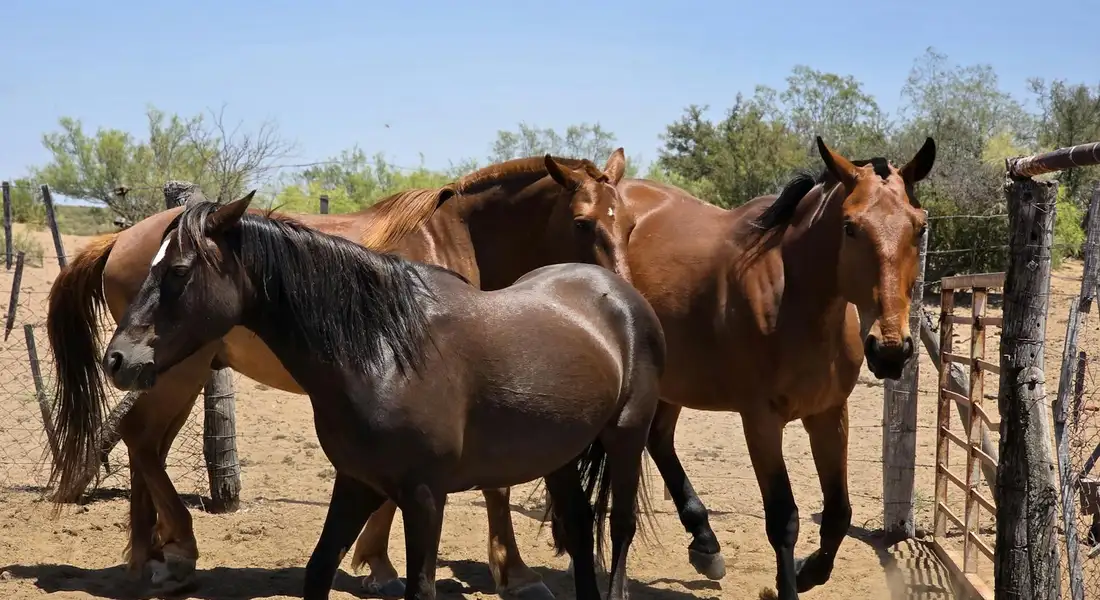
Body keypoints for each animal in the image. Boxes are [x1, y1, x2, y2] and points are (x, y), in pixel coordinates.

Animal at [45, 150, 635, 598]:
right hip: (175, 370)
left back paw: (150, 556)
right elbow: (494, 485)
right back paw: (174, 553)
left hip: (172, 372)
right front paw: (512, 574)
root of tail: (117, 240)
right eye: (583, 222)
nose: (628, 290)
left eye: (629, 223)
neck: (455, 234)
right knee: (142, 442)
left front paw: (376, 562)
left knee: (145, 445)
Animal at [353, 137, 937, 599]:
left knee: (658, 441)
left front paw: (810, 571)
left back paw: (705, 542)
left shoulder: (829, 414)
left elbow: (837, 514)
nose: (890, 349)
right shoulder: (761, 421)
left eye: (919, 227)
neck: (797, 298)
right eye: (851, 227)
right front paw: (790, 579)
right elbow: (784, 518)